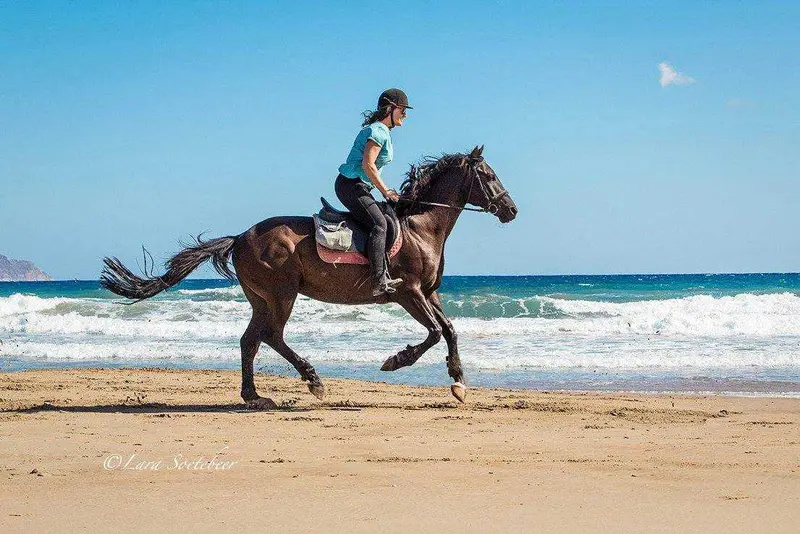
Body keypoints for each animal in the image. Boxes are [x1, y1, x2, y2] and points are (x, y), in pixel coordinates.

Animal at [101, 145, 518, 408]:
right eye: (489, 175)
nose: (511, 210)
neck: (421, 226)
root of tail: (240, 237)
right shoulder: (408, 292)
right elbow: (432, 332)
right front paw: (396, 360)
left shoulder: (429, 292)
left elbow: (449, 329)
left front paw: (458, 382)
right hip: (282, 293)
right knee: (271, 336)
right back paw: (313, 380)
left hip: (261, 298)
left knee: (250, 340)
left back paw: (254, 397)